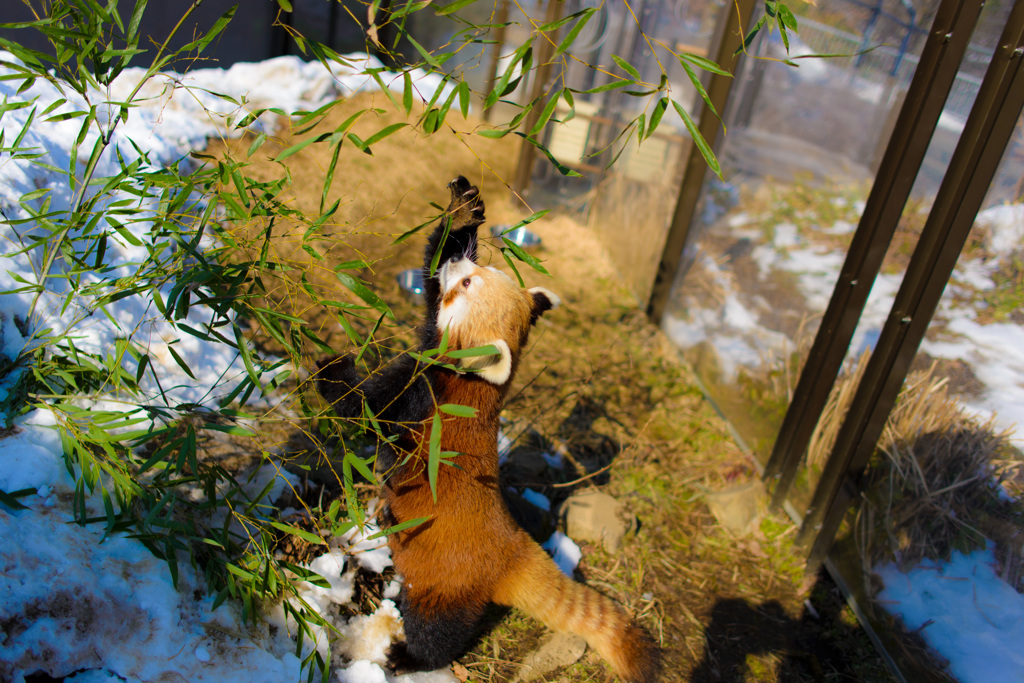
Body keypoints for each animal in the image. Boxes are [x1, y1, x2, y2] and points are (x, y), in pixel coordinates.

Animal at [315, 178, 659, 683]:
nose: (461, 262)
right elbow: (429, 270)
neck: (466, 379)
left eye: (467, 283)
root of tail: (511, 548)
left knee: (438, 631)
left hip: (447, 583)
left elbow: (367, 411)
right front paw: (462, 212)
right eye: (474, 269)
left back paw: (408, 655)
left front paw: (329, 373)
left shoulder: (422, 402)